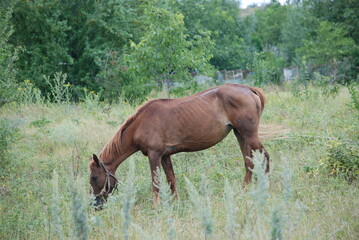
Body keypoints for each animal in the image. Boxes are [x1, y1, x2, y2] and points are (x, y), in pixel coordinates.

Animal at [89, 83, 270, 207]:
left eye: (94, 177)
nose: (94, 204)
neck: (141, 124)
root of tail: (248, 89)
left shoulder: (154, 155)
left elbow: (156, 183)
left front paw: (156, 207)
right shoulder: (165, 156)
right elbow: (171, 180)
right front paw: (176, 202)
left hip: (249, 135)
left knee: (265, 156)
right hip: (240, 134)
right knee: (248, 161)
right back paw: (243, 190)